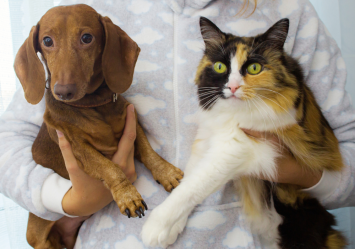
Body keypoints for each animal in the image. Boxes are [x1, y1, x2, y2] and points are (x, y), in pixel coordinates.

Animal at [142, 16, 348, 248]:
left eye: (254, 68)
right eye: (220, 66)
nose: (232, 87)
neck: (231, 114)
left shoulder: (238, 147)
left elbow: (194, 186)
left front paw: (156, 227)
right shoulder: (206, 139)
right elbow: (188, 181)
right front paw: (172, 229)